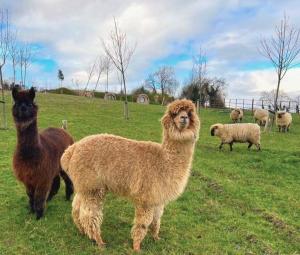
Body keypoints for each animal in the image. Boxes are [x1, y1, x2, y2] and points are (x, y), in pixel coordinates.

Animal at [60, 99, 199, 251]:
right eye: (174, 114)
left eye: (190, 113)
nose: (184, 118)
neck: (164, 161)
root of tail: (71, 150)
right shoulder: (146, 198)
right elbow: (142, 223)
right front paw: (137, 247)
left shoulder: (158, 197)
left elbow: (156, 220)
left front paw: (156, 238)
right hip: (93, 187)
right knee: (89, 215)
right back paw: (99, 241)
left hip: (84, 185)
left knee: (76, 208)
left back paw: (82, 231)